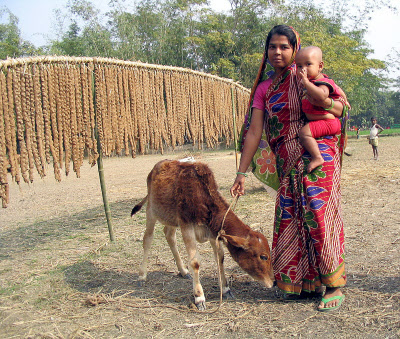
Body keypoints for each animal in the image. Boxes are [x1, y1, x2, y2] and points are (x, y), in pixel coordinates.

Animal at [131, 161, 276, 312]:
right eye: (263, 256)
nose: (274, 281)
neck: (205, 201)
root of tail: (157, 166)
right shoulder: (187, 227)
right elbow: (195, 263)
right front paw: (199, 297)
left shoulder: (213, 234)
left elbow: (220, 259)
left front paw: (225, 289)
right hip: (151, 211)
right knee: (147, 239)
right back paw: (142, 276)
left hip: (172, 219)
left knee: (169, 235)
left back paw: (183, 271)